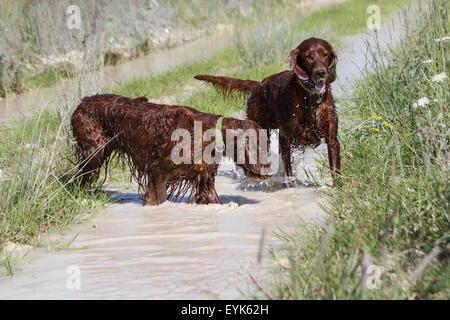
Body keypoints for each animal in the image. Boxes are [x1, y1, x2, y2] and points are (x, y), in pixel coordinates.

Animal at [70, 94, 268, 206]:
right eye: (257, 146)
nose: (268, 171)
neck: (207, 133)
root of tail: (82, 103)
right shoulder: (158, 173)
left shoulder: (204, 179)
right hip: (94, 153)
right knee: (77, 178)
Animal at [195, 37, 340, 182]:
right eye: (308, 56)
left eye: (325, 54)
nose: (321, 72)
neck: (311, 99)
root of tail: (258, 84)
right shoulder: (285, 138)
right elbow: (288, 171)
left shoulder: (332, 138)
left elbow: (335, 169)